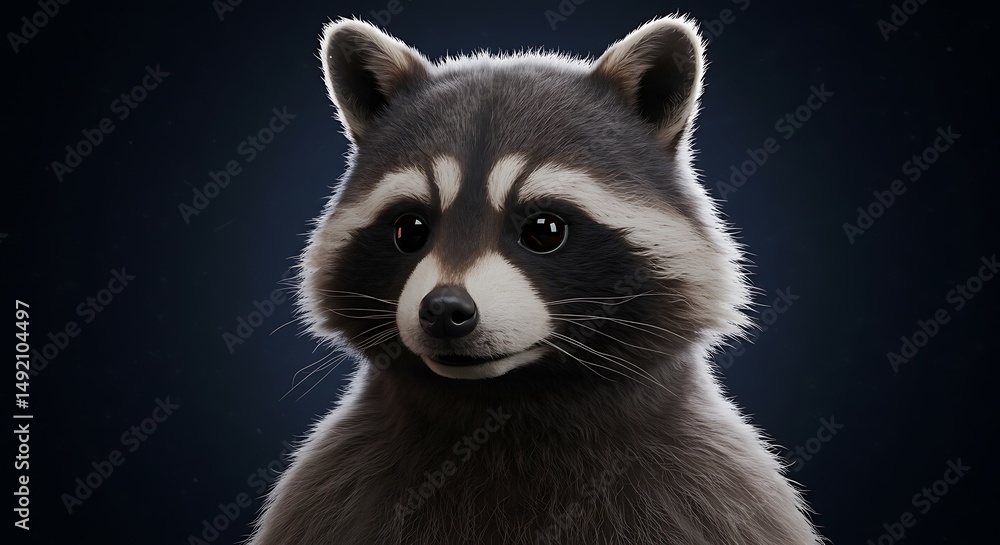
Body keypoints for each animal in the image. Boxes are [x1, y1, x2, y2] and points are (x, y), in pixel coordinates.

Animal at [248, 15, 824, 545]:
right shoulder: (334, 496)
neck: (508, 407)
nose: (444, 310)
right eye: (410, 230)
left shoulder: (712, 497)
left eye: (544, 230)